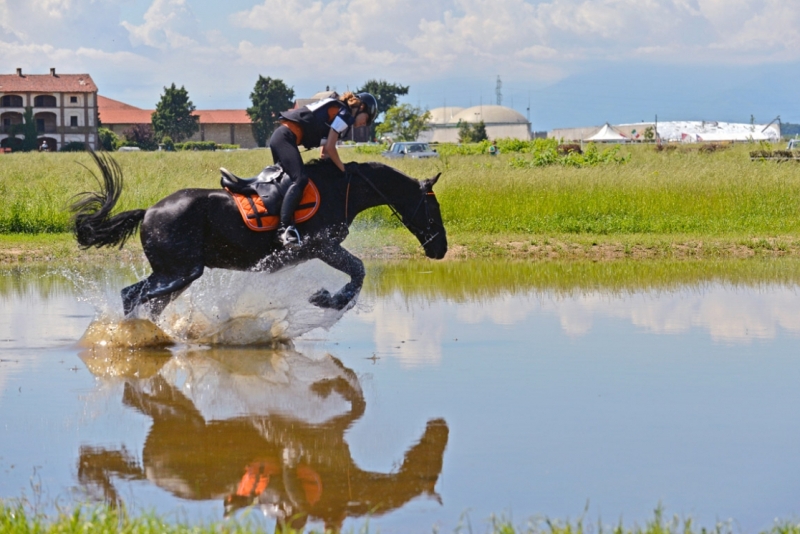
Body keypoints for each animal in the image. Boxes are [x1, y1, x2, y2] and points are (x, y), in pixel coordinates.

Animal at [72, 151, 446, 318]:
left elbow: (357, 272)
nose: (440, 249)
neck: (343, 188)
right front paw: (328, 299)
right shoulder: (321, 245)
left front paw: (329, 298)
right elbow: (358, 271)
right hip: (179, 272)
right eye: (434, 207)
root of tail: (149, 210)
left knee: (146, 301)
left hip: (175, 275)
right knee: (132, 295)